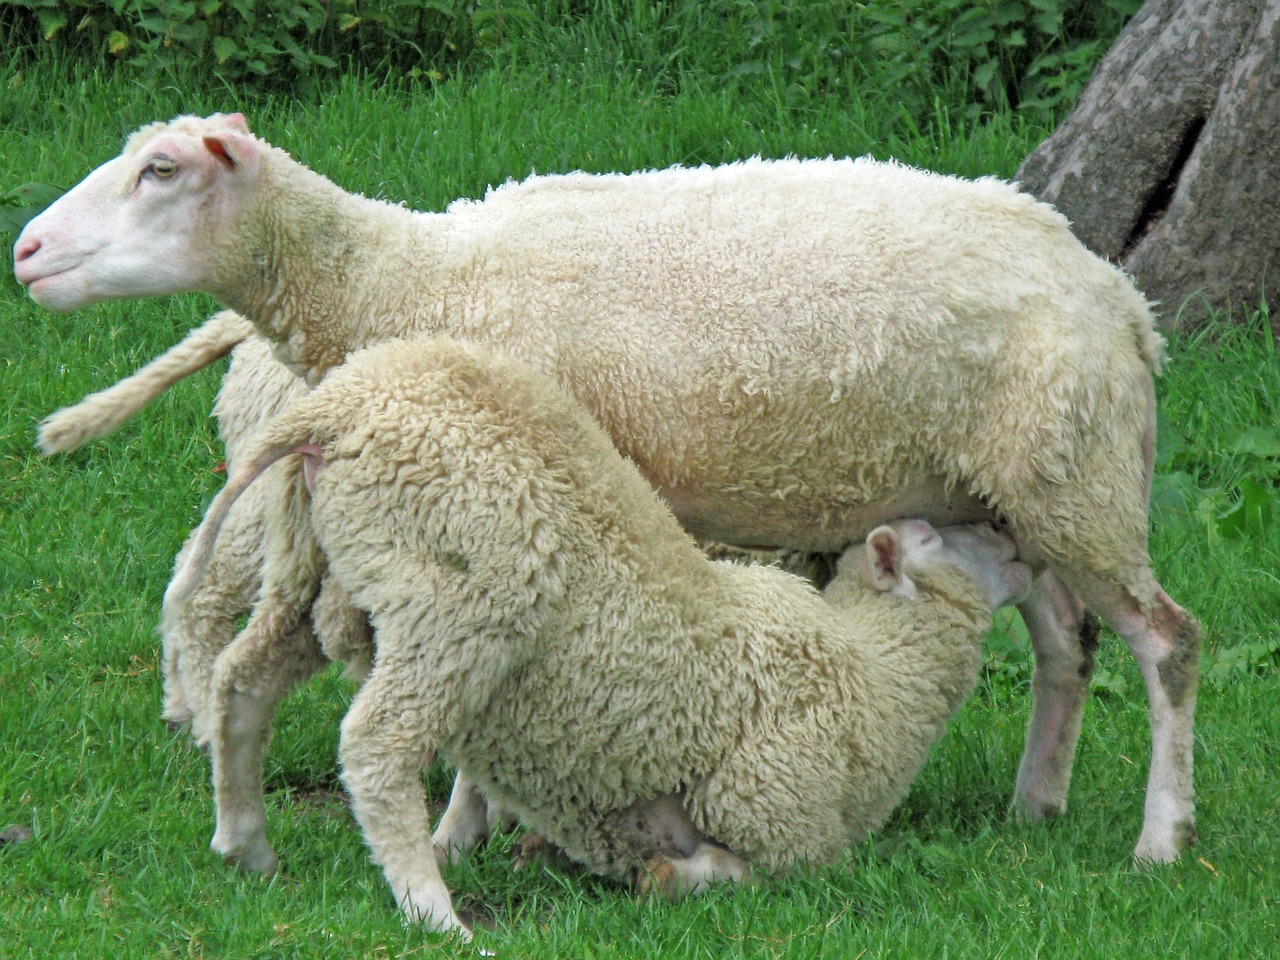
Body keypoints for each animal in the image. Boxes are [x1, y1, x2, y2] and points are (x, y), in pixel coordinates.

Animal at [15, 110, 1198, 865]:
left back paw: (1159, 839)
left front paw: (463, 830)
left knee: (1165, 643)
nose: (23, 251)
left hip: (1078, 478)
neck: (411, 279)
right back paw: (1036, 807)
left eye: (161, 171)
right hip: (1012, 490)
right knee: (1065, 642)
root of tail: (1122, 299)